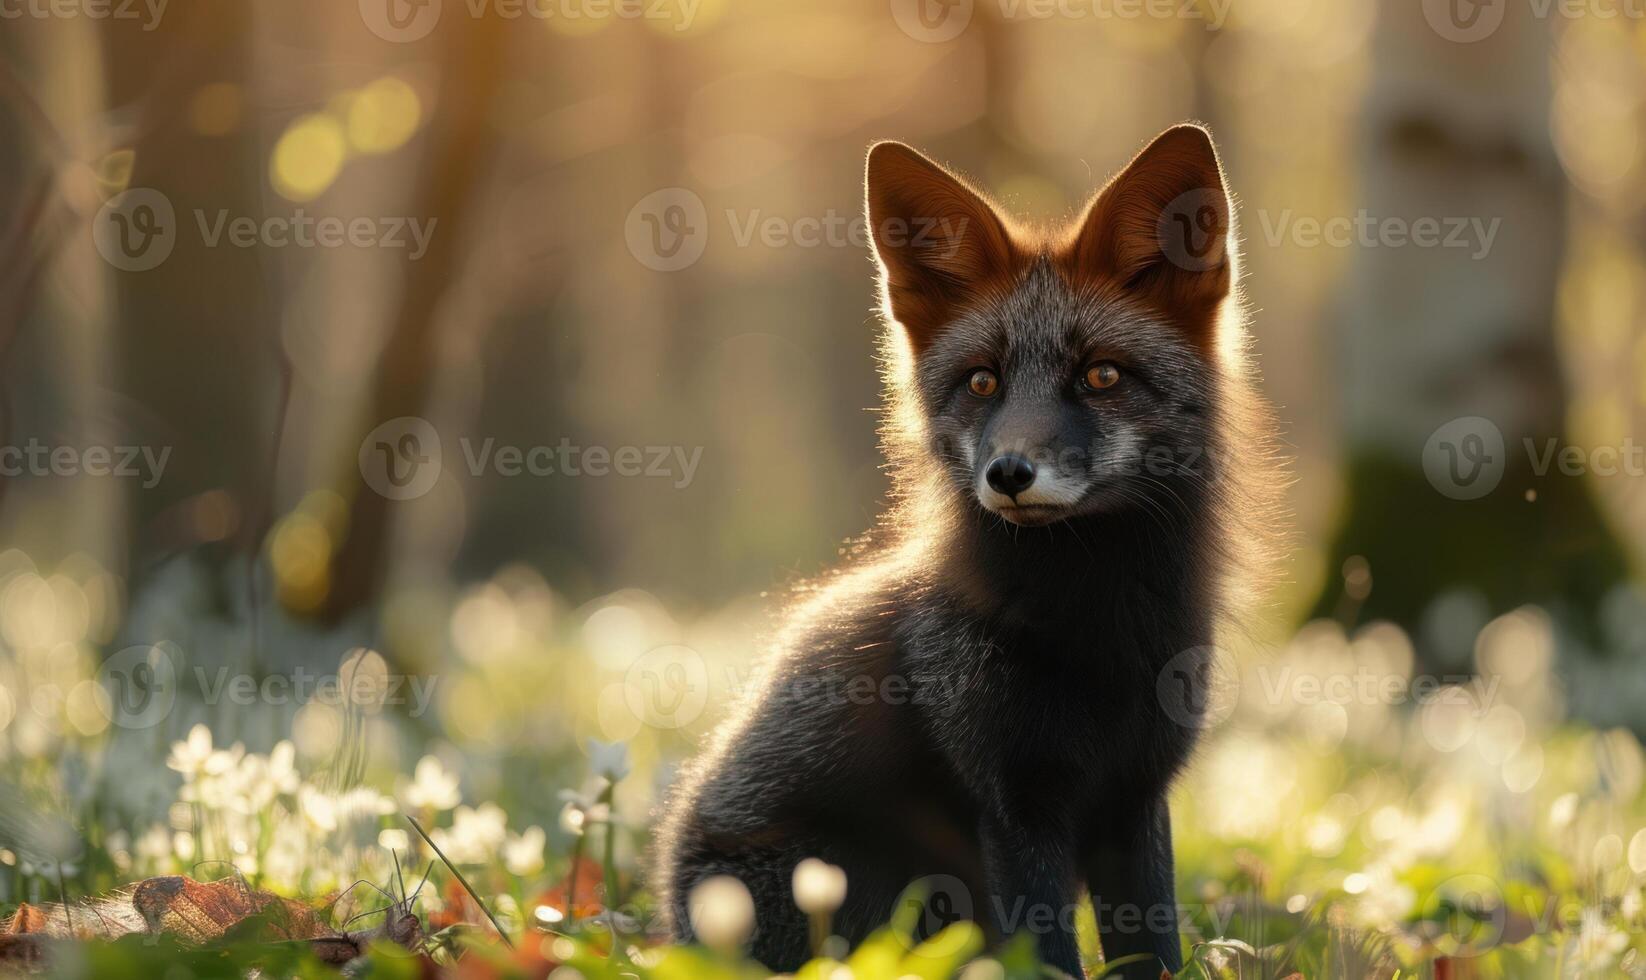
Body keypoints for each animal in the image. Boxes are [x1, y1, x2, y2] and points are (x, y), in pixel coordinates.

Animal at [655, 126, 1283, 975]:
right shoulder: (1015, 803)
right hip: (881, 893)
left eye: (1101, 374)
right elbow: (1051, 954)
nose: (1008, 474)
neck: (1098, 632)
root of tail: (667, 916)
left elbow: (1154, 948)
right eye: (983, 383)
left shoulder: (1135, 799)